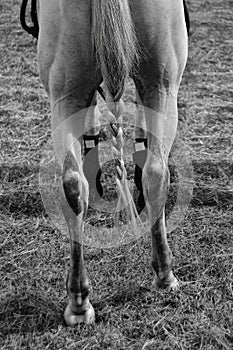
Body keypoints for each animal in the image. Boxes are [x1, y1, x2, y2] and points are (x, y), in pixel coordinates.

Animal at [34, 0, 187, 326]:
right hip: (161, 86)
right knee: (153, 173)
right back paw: (161, 274)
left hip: (68, 95)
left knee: (75, 184)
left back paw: (79, 300)